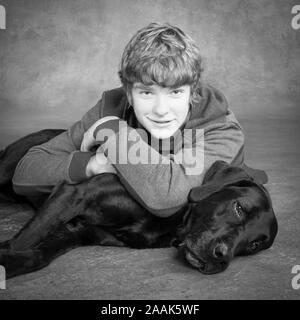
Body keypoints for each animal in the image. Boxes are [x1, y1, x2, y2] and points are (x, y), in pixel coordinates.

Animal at [0, 130, 278, 278]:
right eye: (239, 208)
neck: (171, 222)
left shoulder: (77, 232)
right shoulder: (74, 194)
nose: (222, 257)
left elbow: (38, 255)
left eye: (254, 245)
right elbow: (25, 240)